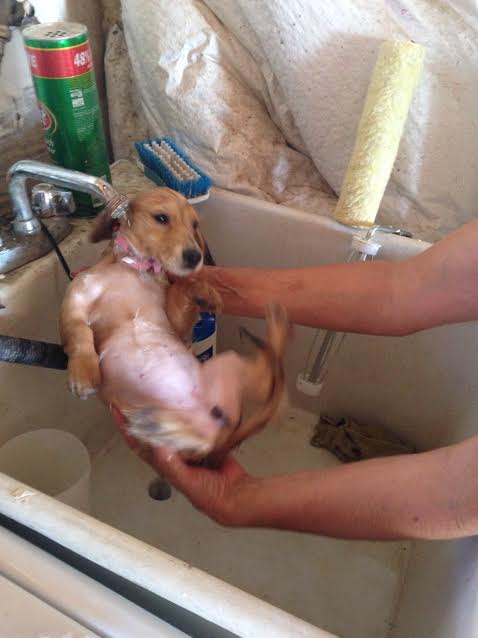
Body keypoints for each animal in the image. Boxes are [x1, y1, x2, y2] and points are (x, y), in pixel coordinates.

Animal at [60, 187, 289, 466]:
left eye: (195, 225)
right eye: (161, 218)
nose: (195, 256)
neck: (135, 267)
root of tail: (220, 441)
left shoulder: (174, 321)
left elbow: (182, 286)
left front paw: (204, 291)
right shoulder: (76, 300)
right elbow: (79, 335)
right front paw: (82, 372)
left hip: (230, 365)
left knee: (269, 380)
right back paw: (159, 424)